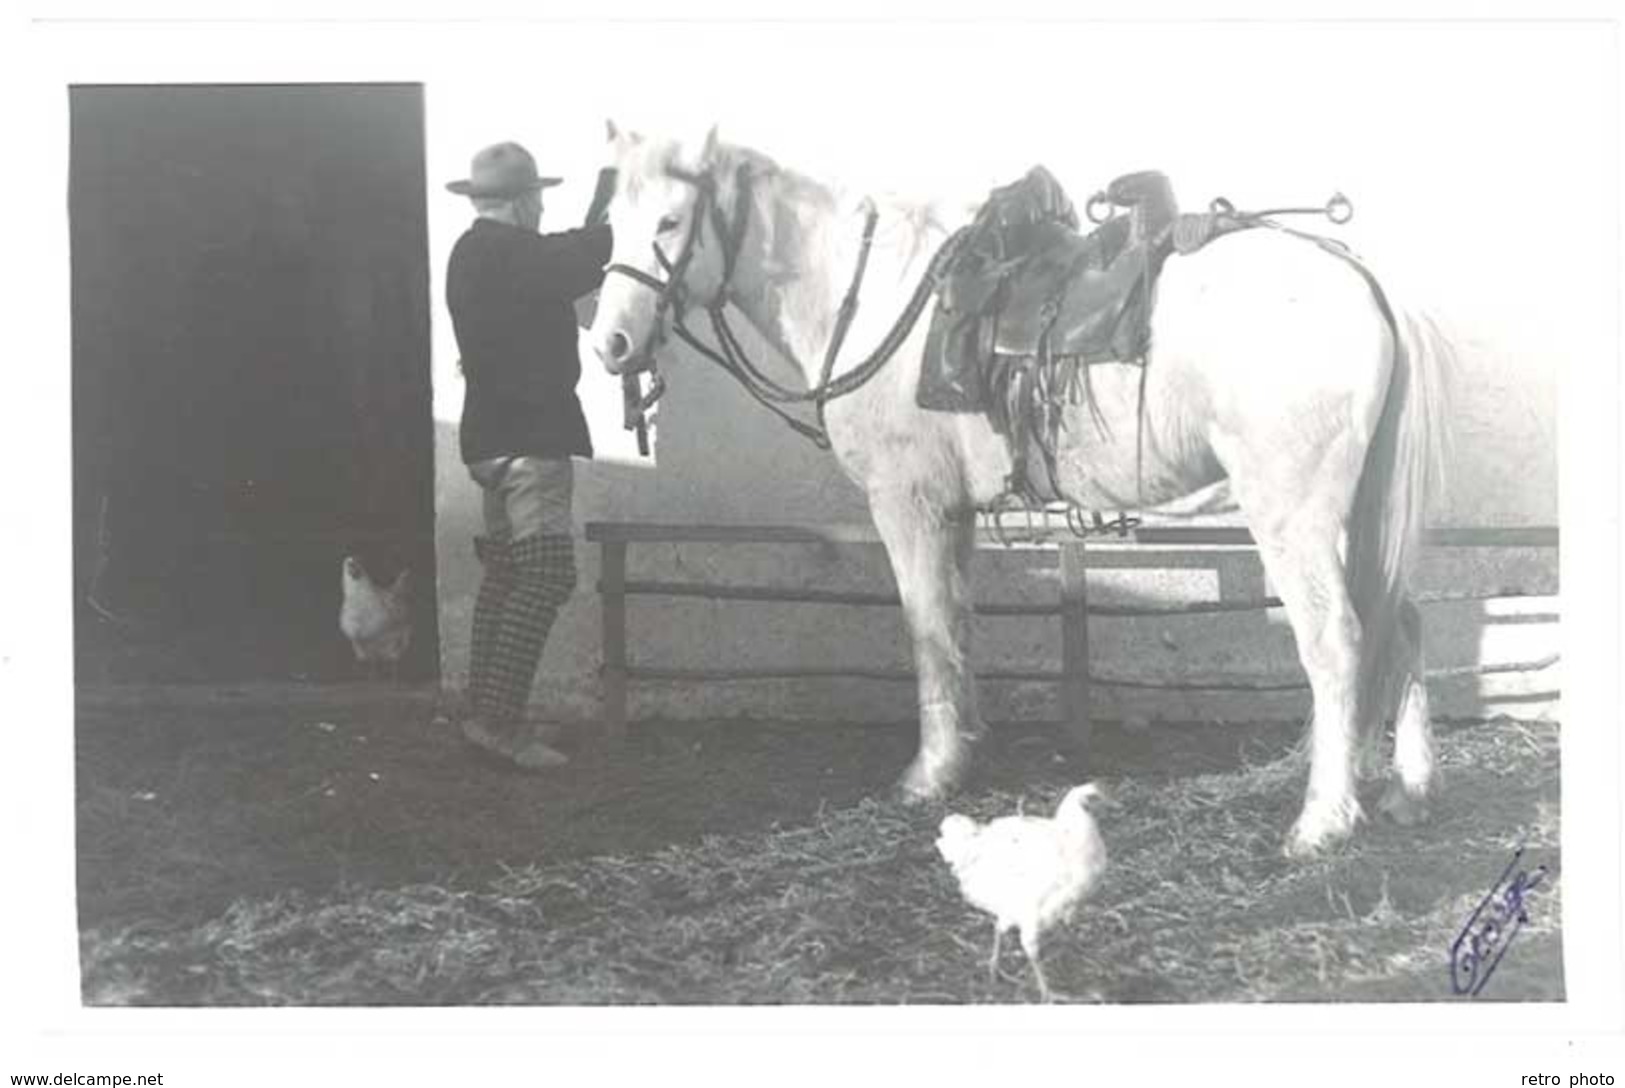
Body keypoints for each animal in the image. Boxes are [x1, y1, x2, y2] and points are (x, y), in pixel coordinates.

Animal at [591, 128, 1456, 863]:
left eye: (670, 220)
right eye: (608, 222)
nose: (610, 344)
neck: (871, 295)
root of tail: (1359, 278)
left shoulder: (908, 503)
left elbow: (925, 630)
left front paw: (928, 774)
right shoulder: (954, 514)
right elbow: (957, 626)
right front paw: (963, 753)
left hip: (1294, 516)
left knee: (1336, 643)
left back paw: (1322, 821)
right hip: (1362, 514)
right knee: (1404, 622)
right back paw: (1410, 792)